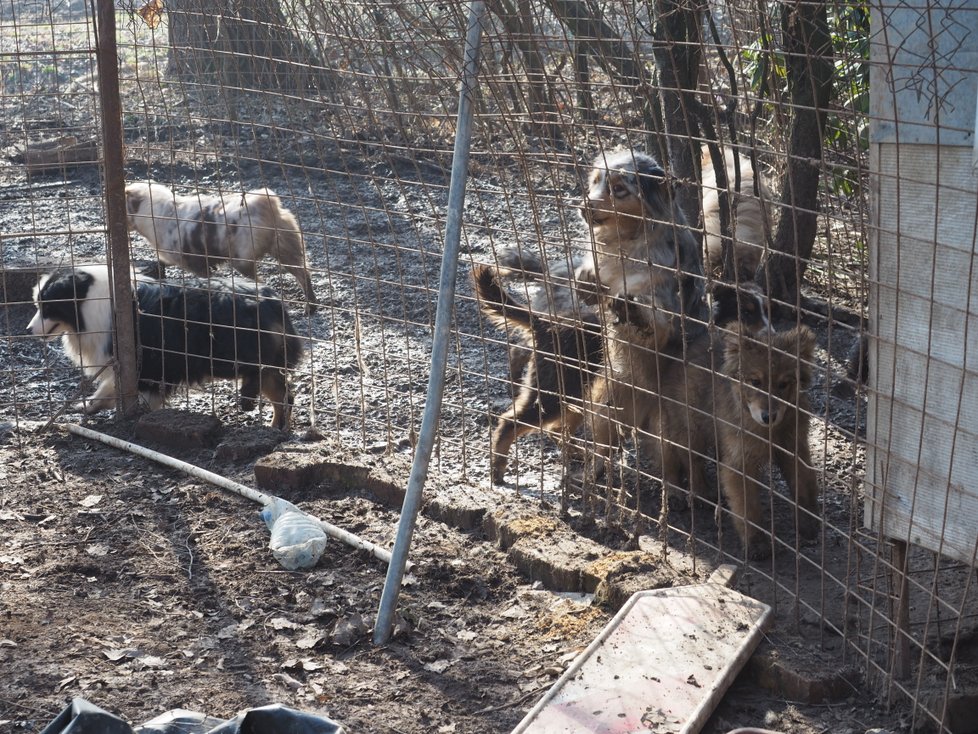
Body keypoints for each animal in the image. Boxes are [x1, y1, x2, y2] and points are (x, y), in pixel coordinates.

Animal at [28, 266, 304, 432]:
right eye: (37, 304)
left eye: (48, 307)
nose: (29, 330)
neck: (87, 302)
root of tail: (274, 302)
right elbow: (109, 389)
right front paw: (88, 406)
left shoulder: (147, 365)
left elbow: (124, 389)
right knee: (284, 396)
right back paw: (276, 428)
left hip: (249, 357)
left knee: (269, 385)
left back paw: (257, 410)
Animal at [124, 183, 318, 314]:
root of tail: (265, 202)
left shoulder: (195, 264)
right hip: (286, 248)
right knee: (303, 274)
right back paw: (310, 307)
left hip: (244, 261)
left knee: (262, 281)